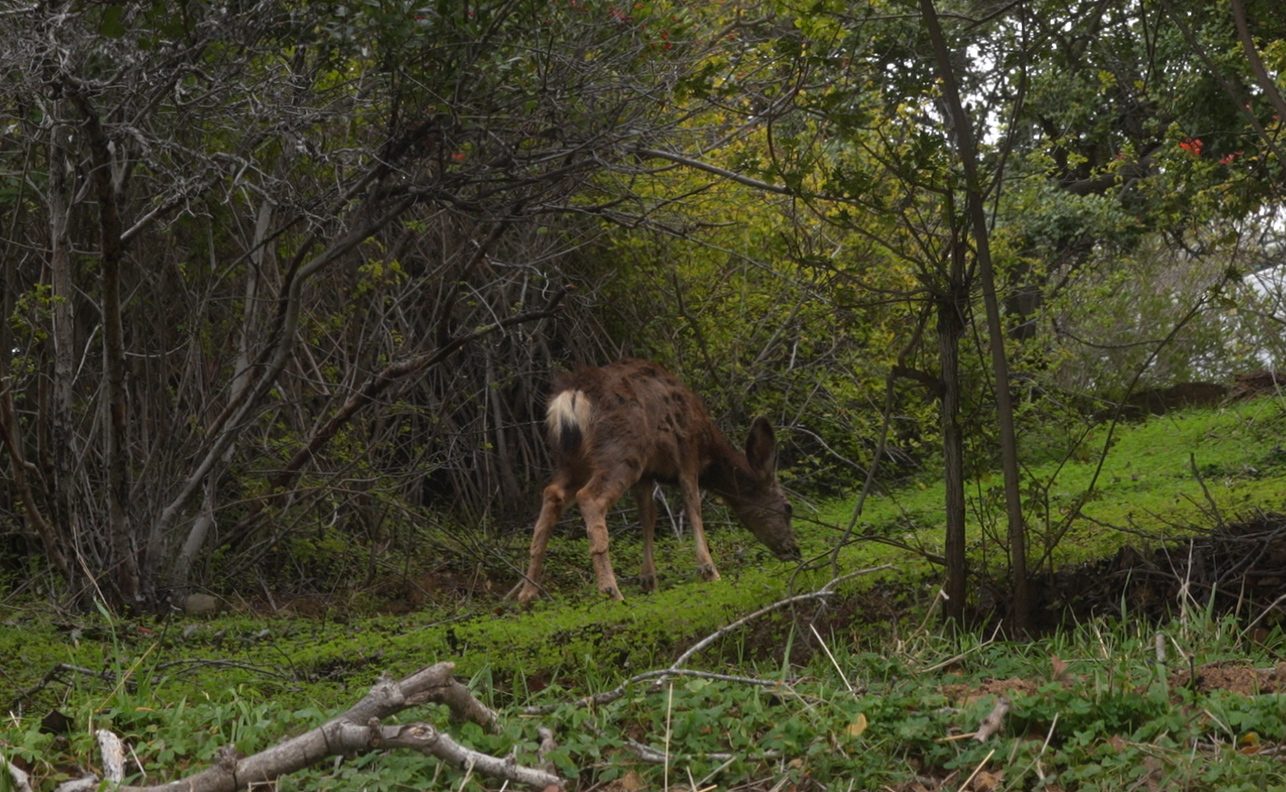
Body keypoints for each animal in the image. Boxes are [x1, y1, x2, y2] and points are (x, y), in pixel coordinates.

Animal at [509, 362, 792, 604]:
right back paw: (611, 590)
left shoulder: (647, 474)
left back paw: (527, 594)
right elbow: (692, 505)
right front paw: (710, 571)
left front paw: (648, 580)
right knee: (590, 498)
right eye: (788, 507)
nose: (794, 550)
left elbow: (648, 515)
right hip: (621, 451)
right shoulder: (687, 455)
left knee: (552, 494)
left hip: (572, 461)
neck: (707, 448)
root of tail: (571, 397)